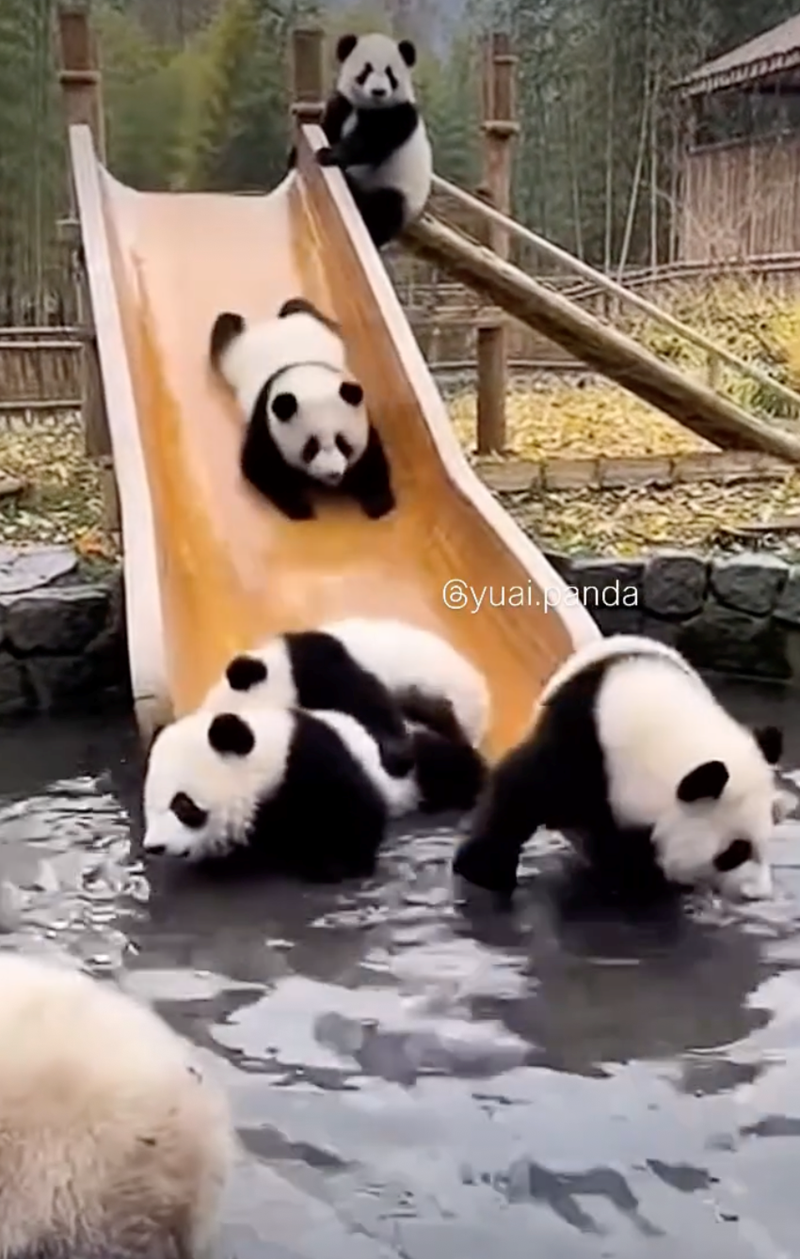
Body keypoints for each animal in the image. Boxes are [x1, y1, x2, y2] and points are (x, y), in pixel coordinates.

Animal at [142, 704, 483, 879]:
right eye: (148, 806)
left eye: (183, 805)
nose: (154, 847)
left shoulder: (312, 763)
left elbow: (352, 816)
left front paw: (335, 865)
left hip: (409, 770)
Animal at [209, 295, 394, 521]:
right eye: (310, 447)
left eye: (343, 443)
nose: (333, 474)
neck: (305, 374)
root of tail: (269, 325)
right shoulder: (266, 420)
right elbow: (260, 466)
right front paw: (301, 508)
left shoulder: (362, 416)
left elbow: (372, 461)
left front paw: (380, 504)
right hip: (232, 354)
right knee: (225, 330)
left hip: (310, 322)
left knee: (297, 306)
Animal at [292, 32, 432, 250]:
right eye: (366, 70)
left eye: (390, 74)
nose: (378, 91)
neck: (370, 107)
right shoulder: (343, 104)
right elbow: (328, 128)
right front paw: (294, 156)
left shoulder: (399, 116)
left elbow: (369, 143)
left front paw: (327, 154)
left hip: (398, 190)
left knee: (386, 207)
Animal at [452, 633, 785, 903]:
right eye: (735, 851)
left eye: (765, 839)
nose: (756, 894)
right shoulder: (579, 742)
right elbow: (518, 795)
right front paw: (483, 874)